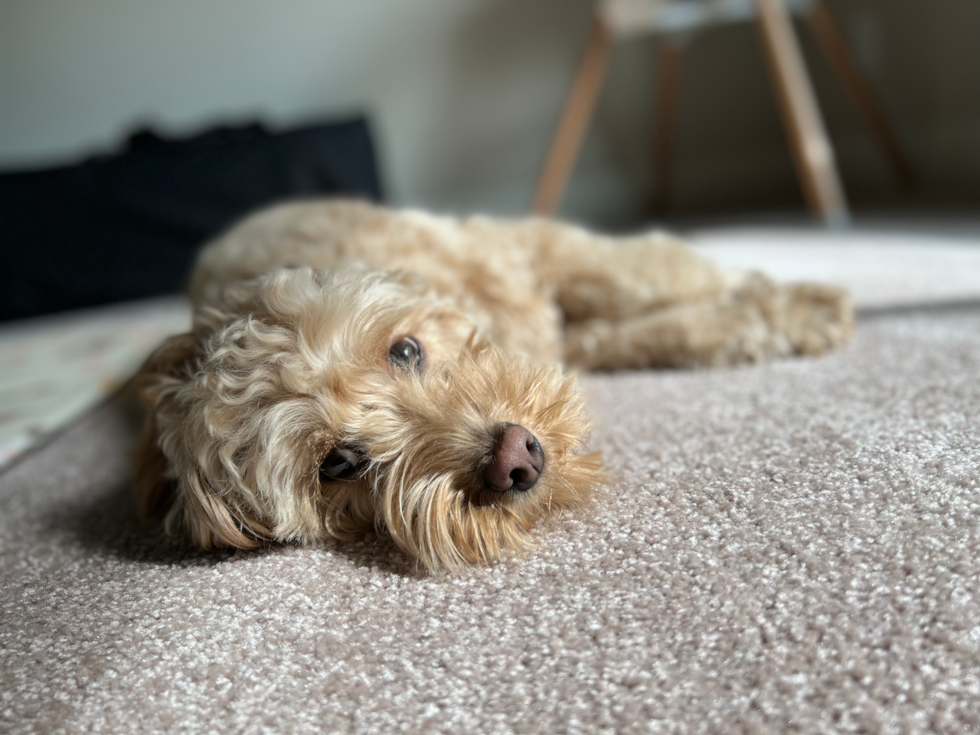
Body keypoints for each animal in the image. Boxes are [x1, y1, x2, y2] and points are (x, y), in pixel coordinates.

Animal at [134, 200, 852, 568]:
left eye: (406, 350)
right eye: (338, 463)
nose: (515, 459)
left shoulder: (544, 250)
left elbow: (650, 274)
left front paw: (795, 301)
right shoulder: (573, 333)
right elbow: (661, 327)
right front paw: (772, 313)